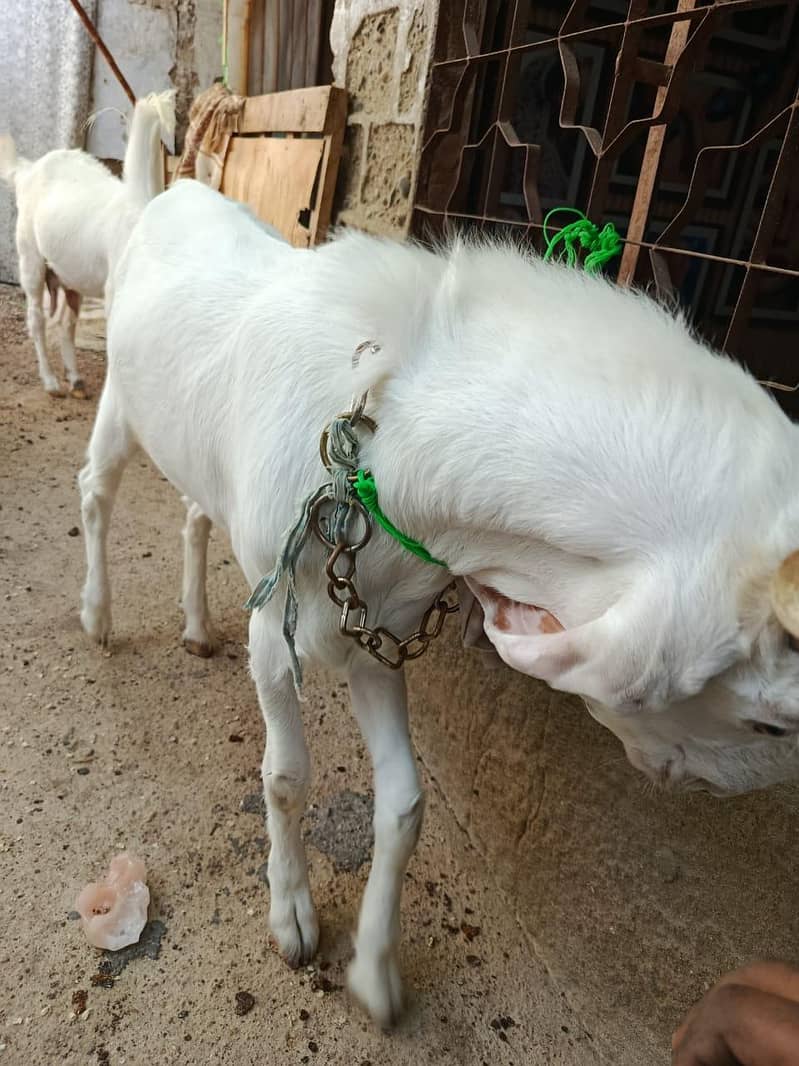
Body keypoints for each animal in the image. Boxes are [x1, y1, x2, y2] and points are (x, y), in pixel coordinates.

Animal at [0, 91, 175, 397]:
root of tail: (26, 171)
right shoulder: (116, 289)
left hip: (70, 275)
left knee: (65, 322)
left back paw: (75, 379)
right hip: (29, 256)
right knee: (36, 318)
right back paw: (51, 382)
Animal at [79, 178, 799, 1025]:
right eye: (770, 720)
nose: (713, 789)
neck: (382, 444)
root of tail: (177, 188)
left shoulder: (374, 626)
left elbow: (404, 806)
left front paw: (375, 975)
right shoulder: (276, 628)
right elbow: (286, 778)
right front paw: (292, 916)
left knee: (195, 512)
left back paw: (194, 626)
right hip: (120, 401)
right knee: (95, 492)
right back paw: (97, 617)